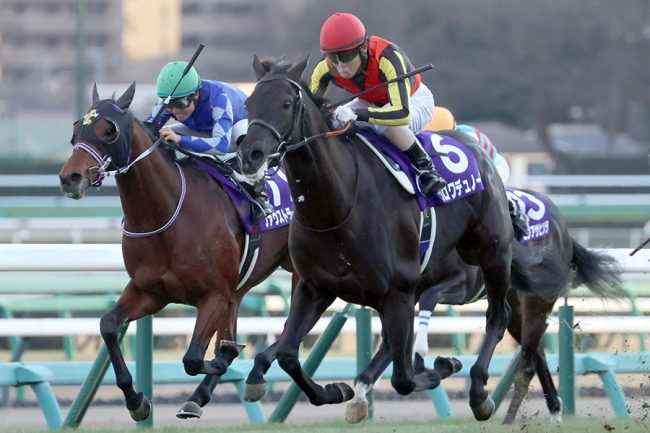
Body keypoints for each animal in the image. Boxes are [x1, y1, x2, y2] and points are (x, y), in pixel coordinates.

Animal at [58, 82, 294, 421]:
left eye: (108, 130)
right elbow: (108, 326)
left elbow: (195, 357)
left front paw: (225, 356)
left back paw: (253, 374)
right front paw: (136, 401)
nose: (70, 178)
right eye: (77, 128)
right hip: (238, 288)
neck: (166, 214)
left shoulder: (214, 295)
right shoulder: (150, 291)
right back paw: (202, 394)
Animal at [235, 56, 565, 422]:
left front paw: (444, 365)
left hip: (493, 255)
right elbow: (289, 354)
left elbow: (404, 378)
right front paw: (336, 391)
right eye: (249, 105)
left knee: (499, 316)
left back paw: (481, 393)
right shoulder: (316, 287)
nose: (250, 155)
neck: (337, 206)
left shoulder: (398, 292)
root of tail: (483, 154)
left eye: (286, 103)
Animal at [413, 188, 623, 423]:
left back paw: (509, 419)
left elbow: (430, 298)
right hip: (513, 302)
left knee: (527, 363)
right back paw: (554, 409)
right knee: (535, 353)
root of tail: (562, 227)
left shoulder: (463, 285)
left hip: (537, 300)